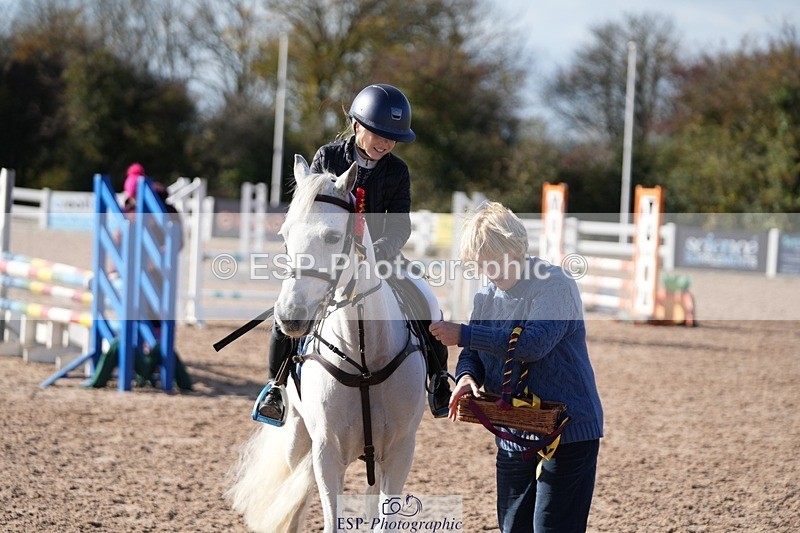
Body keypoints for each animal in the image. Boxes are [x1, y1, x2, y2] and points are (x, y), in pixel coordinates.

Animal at [227, 155, 427, 532]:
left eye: (334, 236)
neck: (363, 357)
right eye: (284, 235)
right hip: (296, 437)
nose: (290, 318)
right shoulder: (326, 450)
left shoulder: (399, 452)